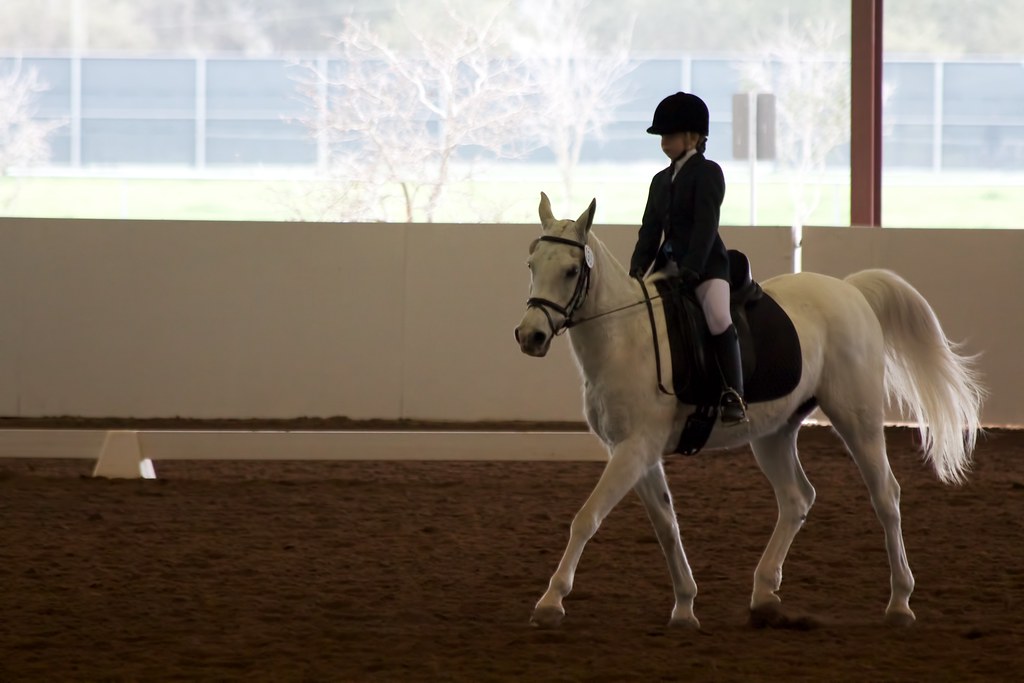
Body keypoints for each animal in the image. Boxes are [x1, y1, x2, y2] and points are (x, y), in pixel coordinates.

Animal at [513, 192, 984, 629]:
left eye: (571, 270)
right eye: (532, 265)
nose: (530, 336)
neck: (623, 338)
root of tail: (851, 291)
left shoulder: (636, 448)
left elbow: (586, 518)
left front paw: (550, 602)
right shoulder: (632, 451)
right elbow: (667, 526)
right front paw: (684, 607)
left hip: (858, 420)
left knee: (886, 495)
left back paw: (900, 603)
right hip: (774, 433)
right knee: (796, 499)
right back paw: (764, 596)